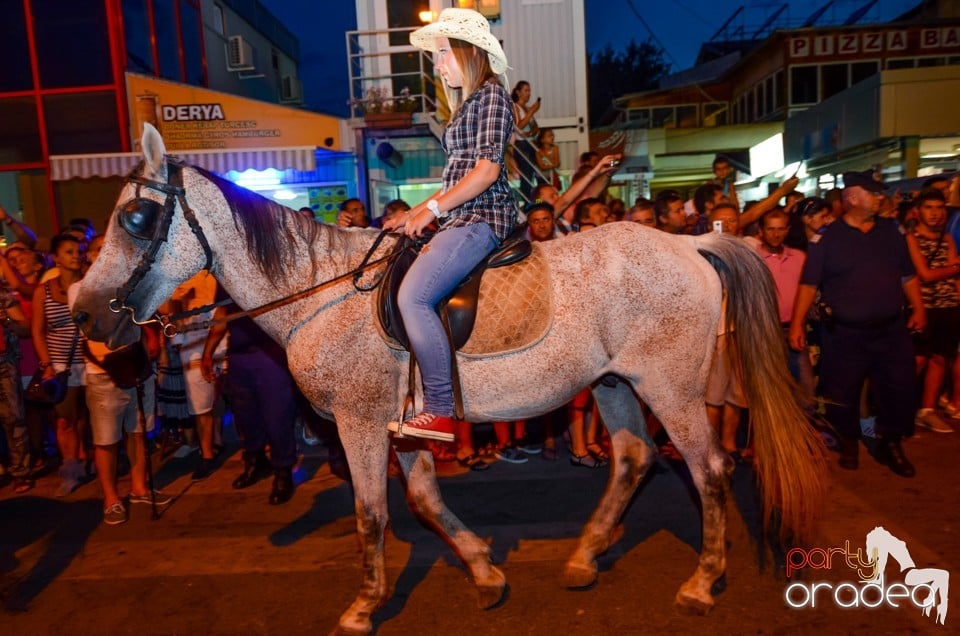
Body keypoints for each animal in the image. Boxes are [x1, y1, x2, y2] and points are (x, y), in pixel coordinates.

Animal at [73, 125, 824, 636]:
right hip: (613, 384)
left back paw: (702, 581)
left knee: (710, 468)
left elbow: (371, 513)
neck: (321, 291)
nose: (84, 312)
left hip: (668, 386)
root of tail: (692, 242)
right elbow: (426, 500)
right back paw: (586, 556)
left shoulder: (360, 423)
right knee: (635, 459)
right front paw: (485, 571)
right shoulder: (402, 424)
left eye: (136, 217)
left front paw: (364, 606)